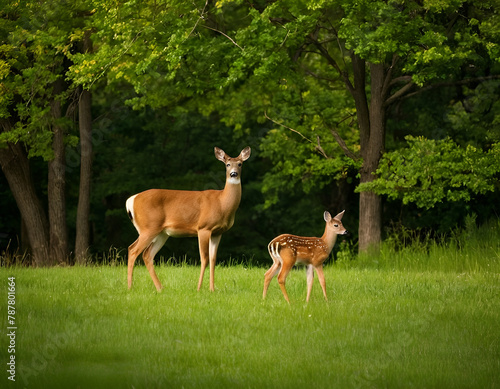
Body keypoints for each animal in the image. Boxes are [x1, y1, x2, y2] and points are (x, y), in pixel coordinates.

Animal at [125, 146, 250, 292]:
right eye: (227, 164)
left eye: (240, 164)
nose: (233, 174)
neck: (222, 203)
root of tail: (131, 200)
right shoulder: (203, 228)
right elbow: (204, 258)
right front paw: (199, 288)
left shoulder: (218, 232)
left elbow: (213, 259)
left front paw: (212, 289)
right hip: (148, 227)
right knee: (133, 250)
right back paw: (130, 287)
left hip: (161, 232)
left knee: (147, 254)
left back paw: (160, 288)